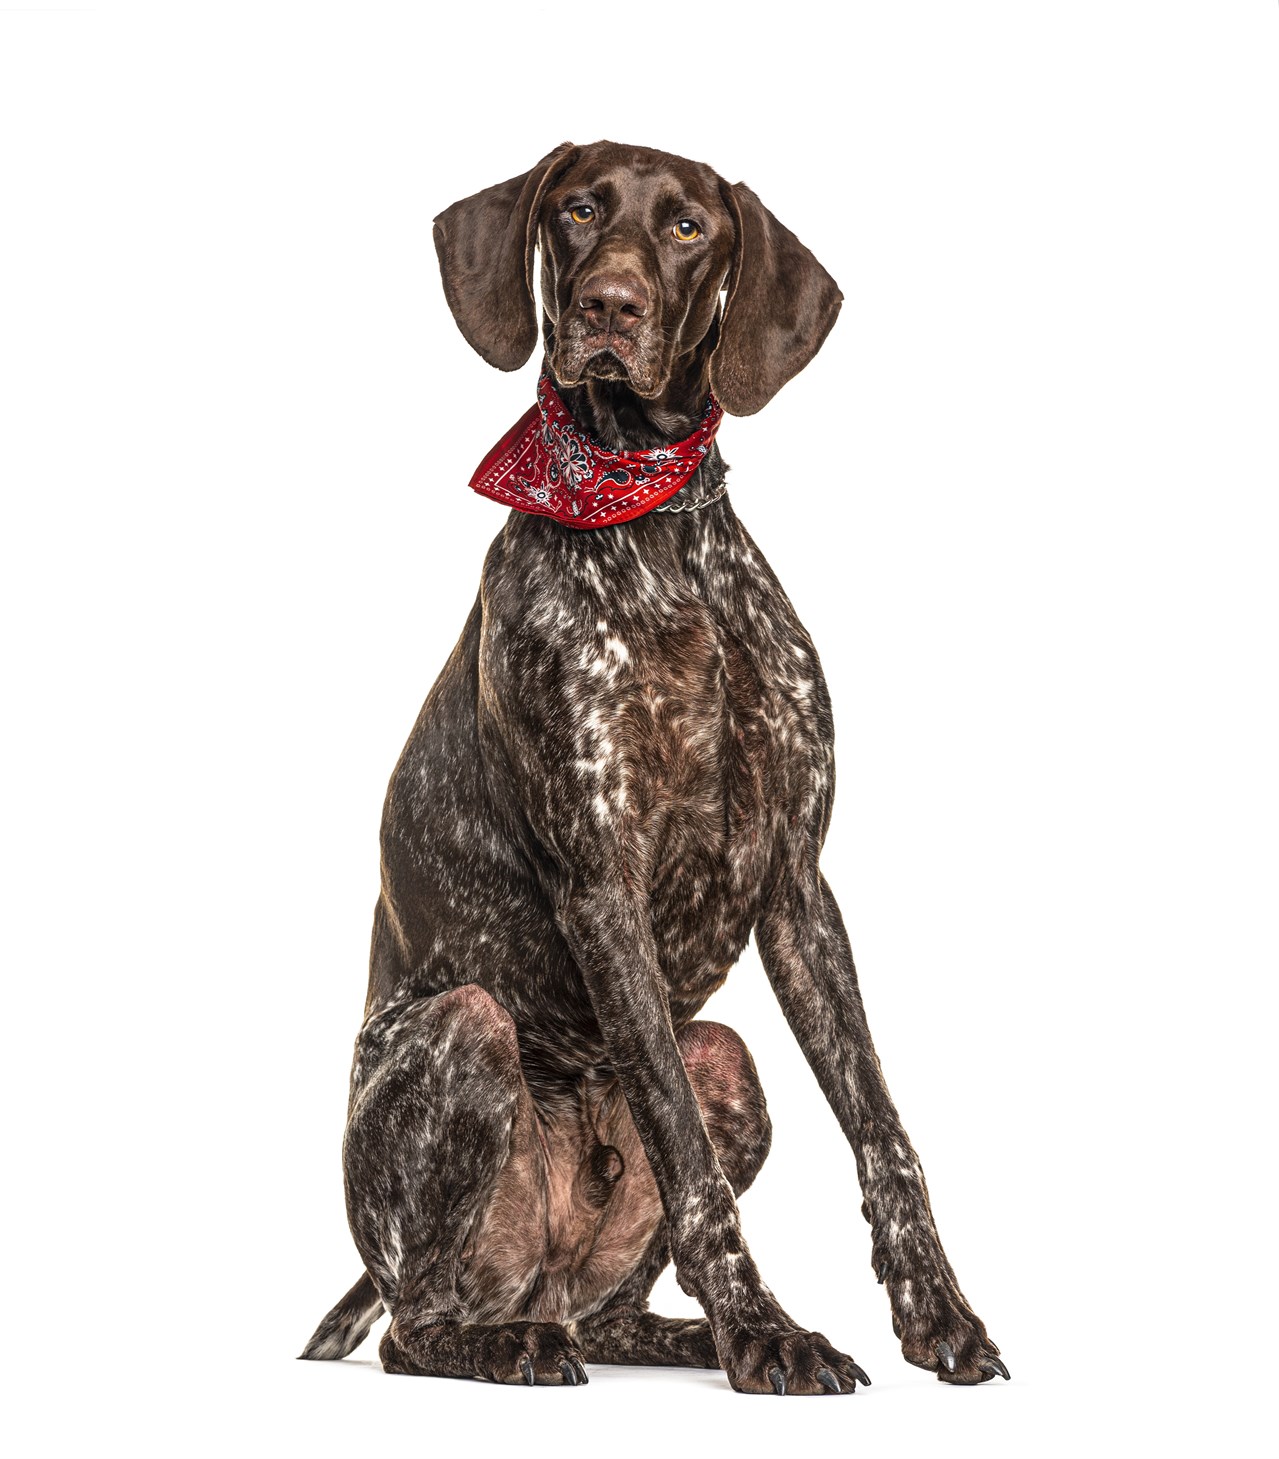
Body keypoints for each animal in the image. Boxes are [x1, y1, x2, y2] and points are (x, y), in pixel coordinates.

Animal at [301, 142, 1009, 1394]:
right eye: (578, 209)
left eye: (687, 228)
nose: (608, 307)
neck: (648, 520)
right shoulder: (601, 882)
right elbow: (690, 1167)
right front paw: (764, 1330)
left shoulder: (796, 886)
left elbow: (882, 1129)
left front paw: (935, 1308)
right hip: (463, 1027)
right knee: (414, 1327)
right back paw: (511, 1343)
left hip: (725, 1055)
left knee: (607, 1305)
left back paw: (666, 1332)